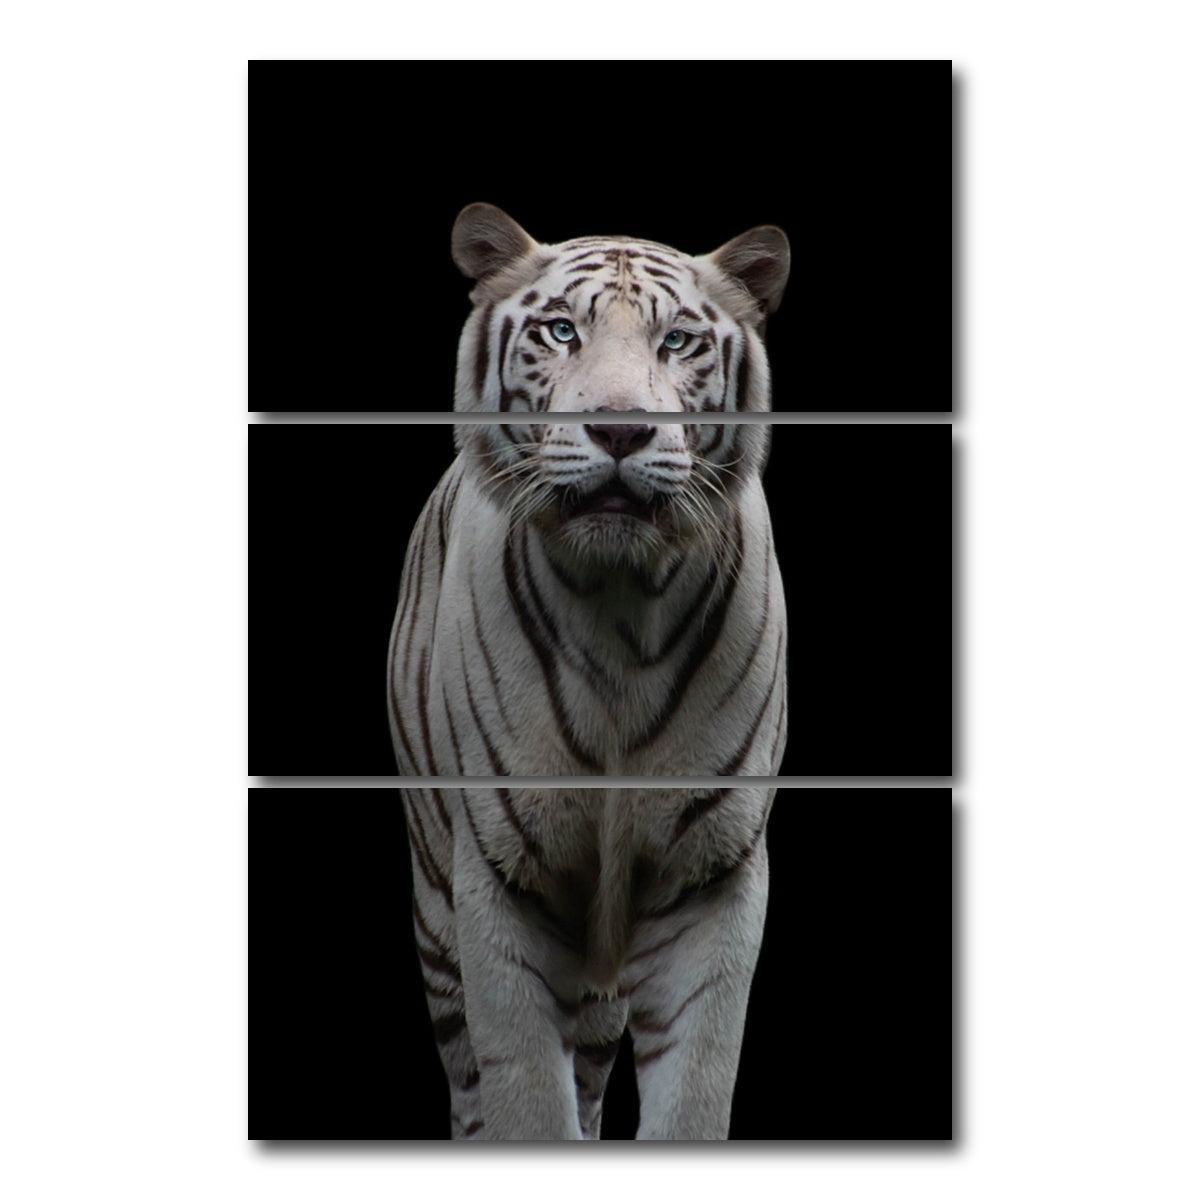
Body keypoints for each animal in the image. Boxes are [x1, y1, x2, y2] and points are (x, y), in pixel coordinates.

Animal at [387, 204, 790, 1139]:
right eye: (561, 331)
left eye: (677, 340)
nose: (619, 428)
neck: (620, 609)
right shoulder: (499, 878)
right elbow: (526, 1097)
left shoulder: (712, 875)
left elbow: (695, 1093)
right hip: (435, 909)